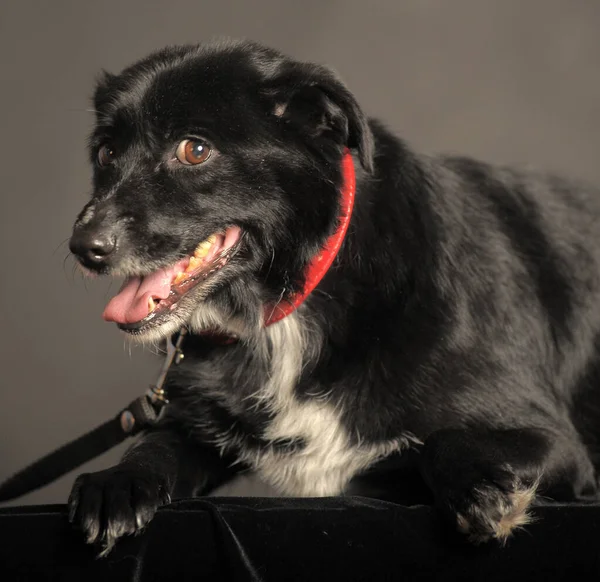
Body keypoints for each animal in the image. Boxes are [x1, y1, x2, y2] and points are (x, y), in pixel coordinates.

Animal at [67, 41, 600, 556]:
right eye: (106, 153)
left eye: (195, 150)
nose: (83, 247)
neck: (293, 305)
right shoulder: (195, 427)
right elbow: (154, 442)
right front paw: (116, 483)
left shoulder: (560, 444)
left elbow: (445, 440)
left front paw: (485, 491)